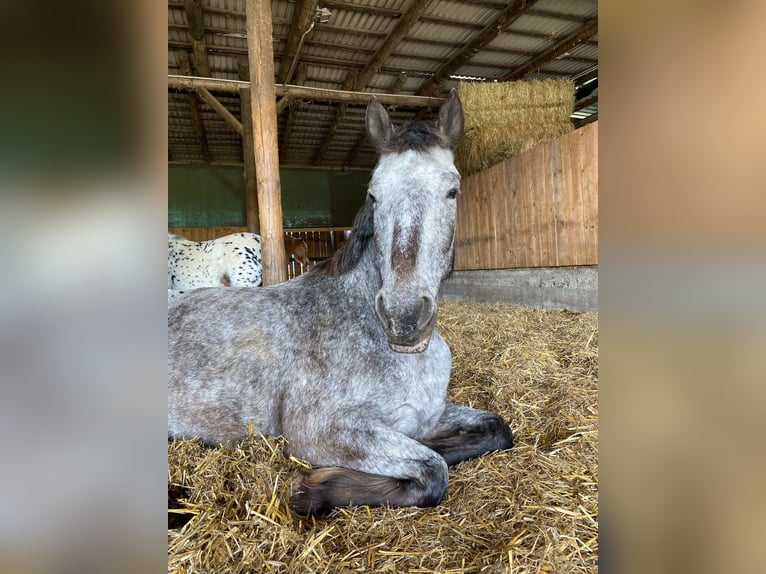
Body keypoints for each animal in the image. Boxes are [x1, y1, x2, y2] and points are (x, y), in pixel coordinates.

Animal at [169, 91, 516, 516]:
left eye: (453, 191)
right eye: (373, 194)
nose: (403, 317)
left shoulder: (431, 413)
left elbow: (498, 429)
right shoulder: (319, 431)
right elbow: (433, 471)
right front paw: (313, 489)